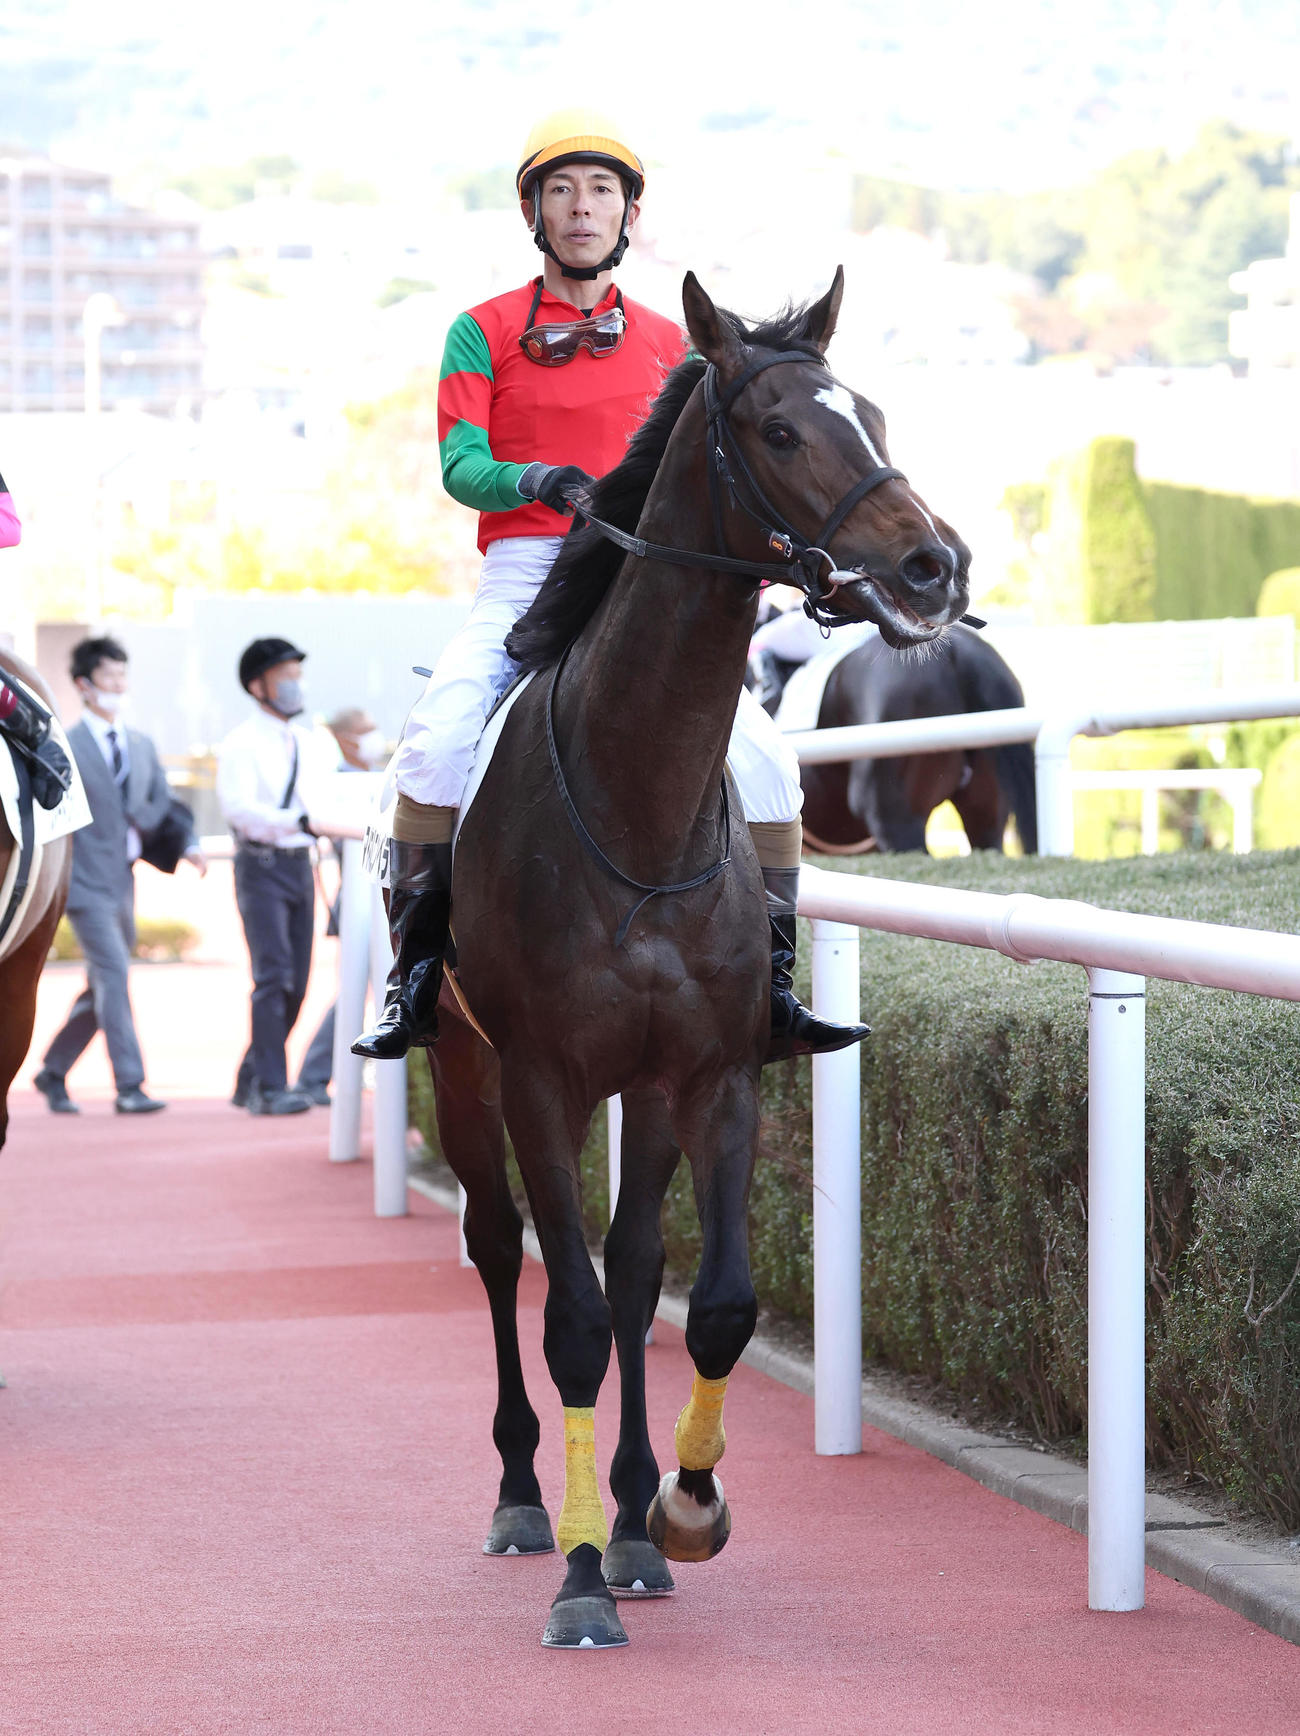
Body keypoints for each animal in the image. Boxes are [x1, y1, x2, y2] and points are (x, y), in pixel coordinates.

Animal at [423, 267, 970, 1649]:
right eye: (778, 430)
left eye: (872, 412)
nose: (933, 564)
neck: (636, 800)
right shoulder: (542, 1077)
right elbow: (563, 1315)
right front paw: (575, 1576)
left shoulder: (713, 1070)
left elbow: (707, 1301)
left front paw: (679, 1506)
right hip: (459, 1063)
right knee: (501, 1249)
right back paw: (528, 1500)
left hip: (649, 1088)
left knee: (632, 1270)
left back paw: (624, 1518)